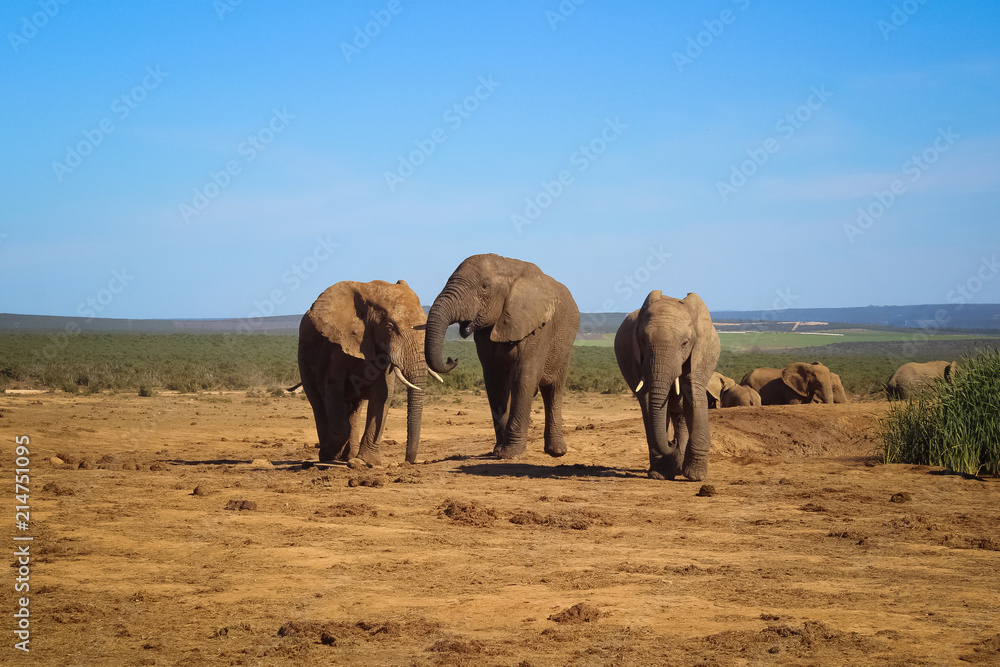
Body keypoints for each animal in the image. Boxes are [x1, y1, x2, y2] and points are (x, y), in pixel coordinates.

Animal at [297, 280, 439, 466]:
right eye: (389, 327)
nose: (407, 461)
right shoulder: (334, 344)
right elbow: (332, 387)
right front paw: (333, 454)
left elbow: (383, 393)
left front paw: (366, 462)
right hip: (303, 357)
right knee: (317, 401)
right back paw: (329, 455)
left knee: (354, 406)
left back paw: (347, 456)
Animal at [424, 254, 580, 459]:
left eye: (484, 287)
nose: (452, 359)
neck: (508, 268)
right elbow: (495, 381)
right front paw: (498, 451)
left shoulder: (537, 328)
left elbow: (524, 378)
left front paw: (510, 454)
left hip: (564, 345)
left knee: (552, 389)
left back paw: (557, 452)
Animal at [614, 291, 721, 481]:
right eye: (642, 340)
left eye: (685, 343)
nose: (672, 442)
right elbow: (647, 400)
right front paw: (660, 474)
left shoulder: (700, 353)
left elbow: (694, 393)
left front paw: (695, 476)